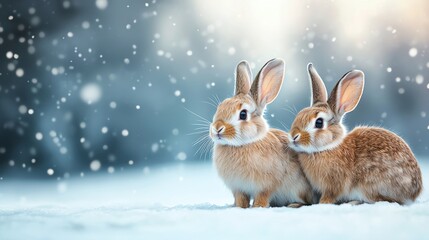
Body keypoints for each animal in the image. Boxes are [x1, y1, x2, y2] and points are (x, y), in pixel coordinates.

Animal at [211, 59, 314, 207]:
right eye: (220, 107)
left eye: (243, 114)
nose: (217, 128)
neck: (244, 144)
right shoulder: (239, 188)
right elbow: (241, 199)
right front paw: (239, 207)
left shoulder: (265, 186)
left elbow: (262, 197)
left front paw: (257, 207)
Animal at [288, 63, 422, 204]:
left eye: (319, 123)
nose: (294, 137)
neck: (328, 147)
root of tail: (414, 191)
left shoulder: (334, 184)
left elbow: (330, 195)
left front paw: (323, 203)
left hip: (370, 184)